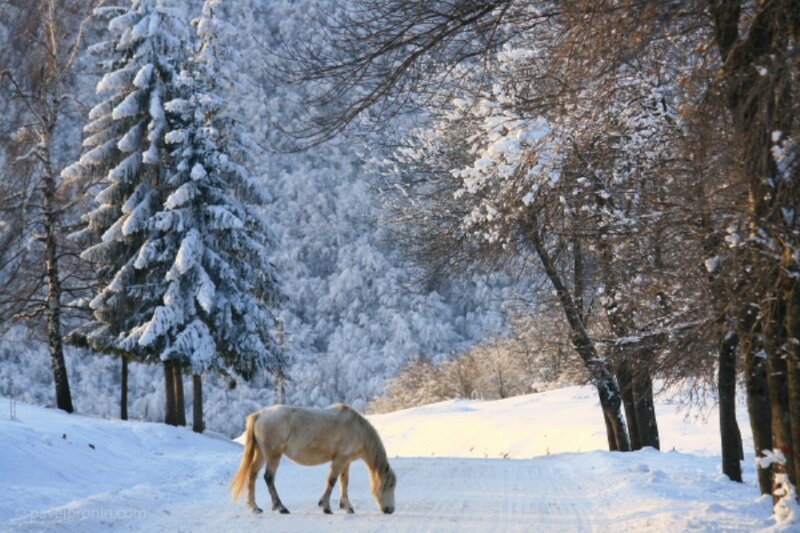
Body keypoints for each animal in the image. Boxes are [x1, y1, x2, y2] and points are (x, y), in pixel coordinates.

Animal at [230, 403, 396, 515]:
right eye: (390, 485)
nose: (390, 510)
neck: (356, 429)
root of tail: (260, 414)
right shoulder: (339, 460)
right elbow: (332, 481)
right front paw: (326, 506)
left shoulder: (346, 461)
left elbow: (344, 482)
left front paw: (347, 506)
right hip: (273, 456)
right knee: (269, 478)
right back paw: (280, 507)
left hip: (262, 454)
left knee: (252, 474)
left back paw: (254, 507)